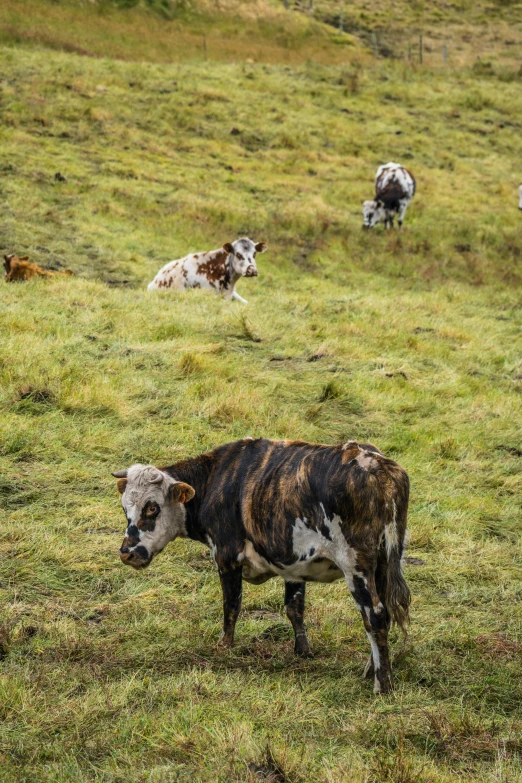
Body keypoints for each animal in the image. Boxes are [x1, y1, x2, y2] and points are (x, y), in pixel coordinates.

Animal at [112, 438, 410, 696]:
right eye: (126, 509)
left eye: (152, 508)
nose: (127, 553)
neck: (217, 480)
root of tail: (378, 466)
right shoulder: (293, 560)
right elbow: (294, 608)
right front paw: (302, 651)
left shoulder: (226, 555)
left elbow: (231, 605)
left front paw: (225, 646)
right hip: (384, 563)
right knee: (384, 612)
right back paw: (370, 670)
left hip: (356, 566)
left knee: (375, 615)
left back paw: (382, 684)